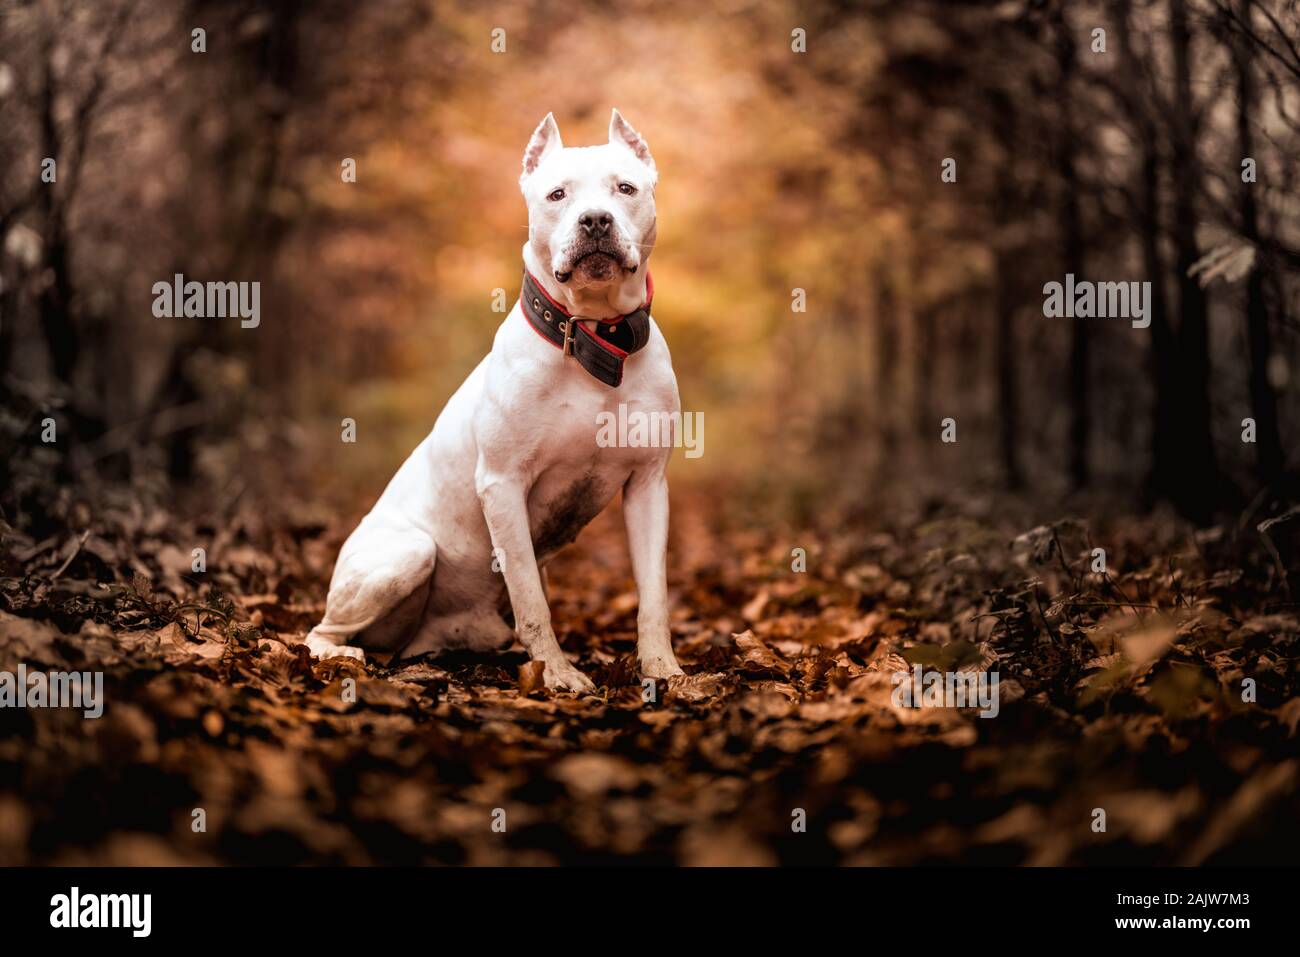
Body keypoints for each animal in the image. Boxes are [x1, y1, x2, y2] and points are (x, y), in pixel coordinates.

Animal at [305, 108, 686, 691]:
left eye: (625, 189)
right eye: (557, 194)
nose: (595, 220)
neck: (593, 336)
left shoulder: (647, 485)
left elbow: (653, 594)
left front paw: (662, 666)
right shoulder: (503, 485)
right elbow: (531, 598)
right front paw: (557, 674)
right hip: (405, 555)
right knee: (321, 631)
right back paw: (340, 656)